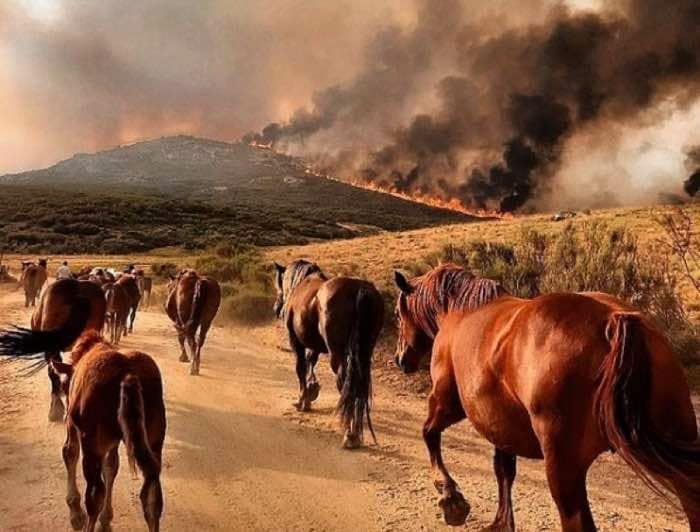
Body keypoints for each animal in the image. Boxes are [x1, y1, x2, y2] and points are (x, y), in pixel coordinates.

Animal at [0, 330, 165, 528]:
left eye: (66, 385)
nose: (66, 393)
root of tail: (128, 374)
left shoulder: (73, 425)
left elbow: (69, 452)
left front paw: (75, 510)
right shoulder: (112, 441)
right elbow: (111, 467)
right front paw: (106, 519)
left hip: (92, 441)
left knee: (95, 493)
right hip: (153, 441)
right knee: (152, 494)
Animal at [274, 260, 386, 446]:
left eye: (279, 284)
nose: (277, 309)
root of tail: (359, 289)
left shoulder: (296, 343)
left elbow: (301, 368)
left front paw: (302, 400)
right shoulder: (315, 345)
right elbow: (311, 362)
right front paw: (311, 391)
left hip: (337, 355)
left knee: (346, 385)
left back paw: (350, 434)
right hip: (364, 353)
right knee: (359, 386)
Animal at [394, 266, 700, 532]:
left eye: (398, 314)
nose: (400, 359)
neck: (460, 310)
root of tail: (613, 320)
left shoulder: (447, 403)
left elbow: (429, 434)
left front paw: (450, 500)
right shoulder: (502, 427)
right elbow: (503, 471)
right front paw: (501, 522)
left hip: (562, 469)